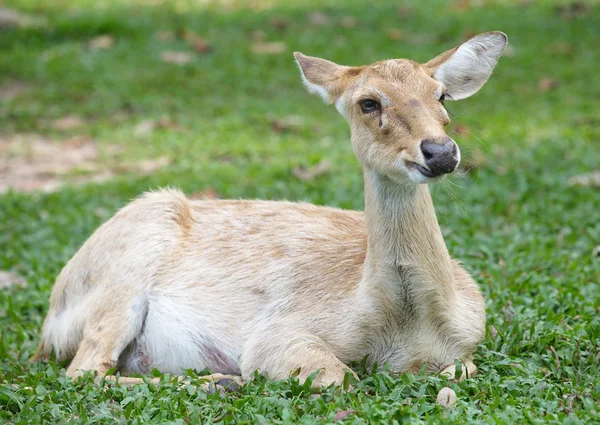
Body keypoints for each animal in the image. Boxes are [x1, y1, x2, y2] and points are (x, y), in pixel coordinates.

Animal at [32, 31, 508, 390]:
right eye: (368, 102)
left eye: (442, 95)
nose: (441, 152)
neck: (404, 324)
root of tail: (51, 321)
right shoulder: (277, 333)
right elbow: (339, 378)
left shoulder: (469, 342)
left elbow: (462, 370)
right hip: (121, 277)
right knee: (83, 370)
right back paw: (220, 381)